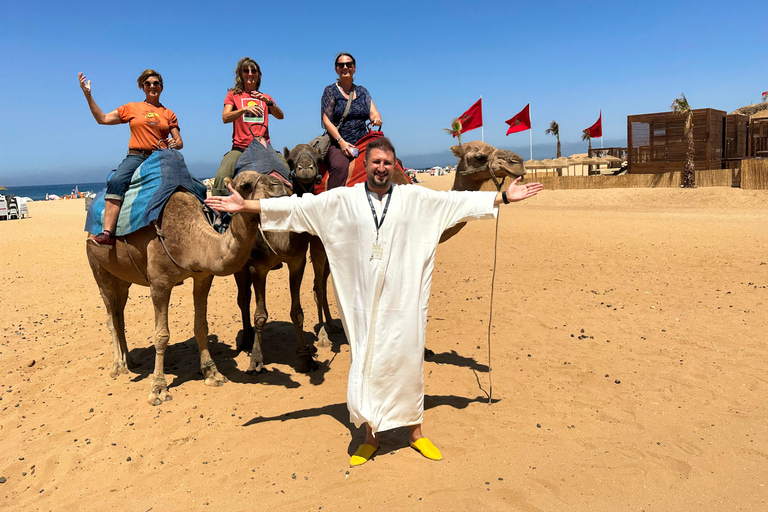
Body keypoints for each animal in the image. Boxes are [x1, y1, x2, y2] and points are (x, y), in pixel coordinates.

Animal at [85, 174, 288, 406]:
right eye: (245, 185)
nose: (280, 186)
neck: (190, 237)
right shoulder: (159, 283)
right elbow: (161, 336)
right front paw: (158, 389)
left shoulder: (203, 277)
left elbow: (201, 326)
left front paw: (212, 374)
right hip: (98, 267)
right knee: (110, 316)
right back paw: (118, 366)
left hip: (122, 278)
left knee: (119, 315)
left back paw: (131, 361)